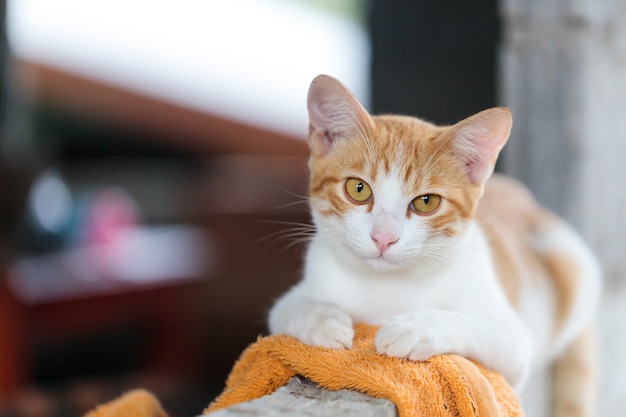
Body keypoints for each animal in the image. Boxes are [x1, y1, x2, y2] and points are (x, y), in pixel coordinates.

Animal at [268, 75, 600, 416]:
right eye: (358, 189)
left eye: (426, 202)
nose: (383, 237)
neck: (384, 286)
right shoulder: (300, 291)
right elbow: (290, 308)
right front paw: (324, 321)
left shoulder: (514, 344)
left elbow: (472, 326)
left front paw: (414, 328)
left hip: (570, 259)